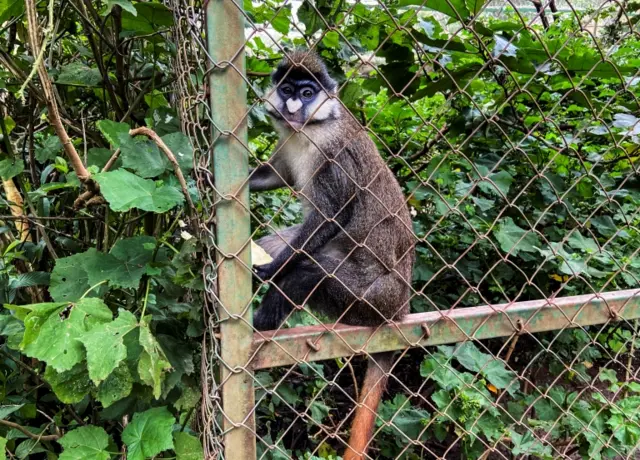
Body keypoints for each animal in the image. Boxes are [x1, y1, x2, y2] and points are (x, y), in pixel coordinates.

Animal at [249, 49, 415, 459]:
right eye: (288, 88)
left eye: (308, 92)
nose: (293, 104)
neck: (310, 129)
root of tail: (400, 311)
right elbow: (275, 176)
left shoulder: (335, 157)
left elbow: (330, 216)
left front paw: (274, 268)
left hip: (370, 302)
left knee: (316, 270)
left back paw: (263, 323)